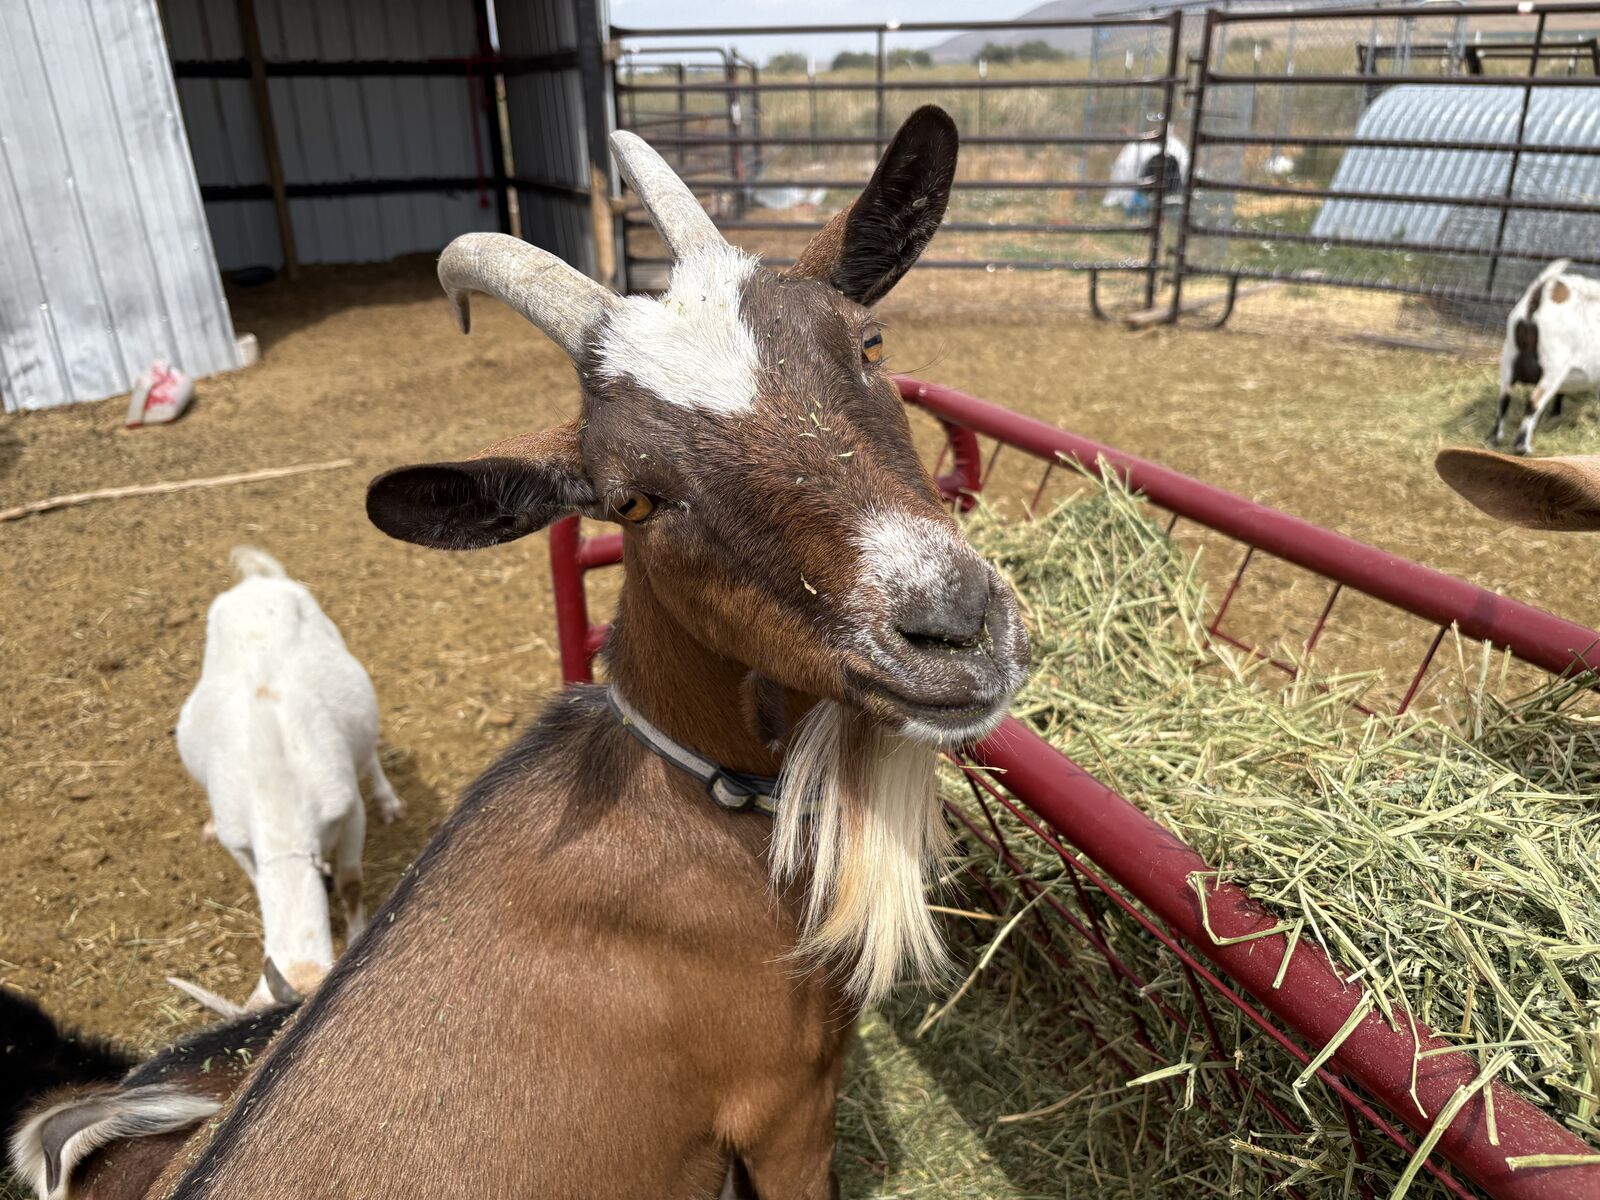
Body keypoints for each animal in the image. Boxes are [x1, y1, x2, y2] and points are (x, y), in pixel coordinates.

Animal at [176, 547, 403, 1009]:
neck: (276, 787)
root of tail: (256, 581)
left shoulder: (349, 811)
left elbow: (352, 882)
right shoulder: (240, 841)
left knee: (369, 749)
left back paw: (389, 800)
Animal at [1490, 259, 1600, 455]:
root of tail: (1536, 300)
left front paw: (1554, 413)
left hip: (1509, 358)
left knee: (1504, 399)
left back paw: (1494, 439)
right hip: (1553, 366)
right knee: (1533, 402)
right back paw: (1522, 447)